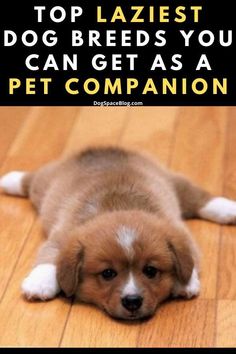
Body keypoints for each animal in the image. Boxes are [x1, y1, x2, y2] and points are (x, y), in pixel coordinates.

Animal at [0, 147, 235, 320]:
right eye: (108, 273)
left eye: (150, 270)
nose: (132, 301)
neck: (119, 209)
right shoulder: (60, 238)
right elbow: (48, 259)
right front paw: (40, 283)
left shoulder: (181, 233)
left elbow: (190, 257)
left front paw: (185, 282)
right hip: (43, 186)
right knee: (30, 180)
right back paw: (10, 180)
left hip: (173, 182)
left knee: (199, 198)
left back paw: (228, 208)